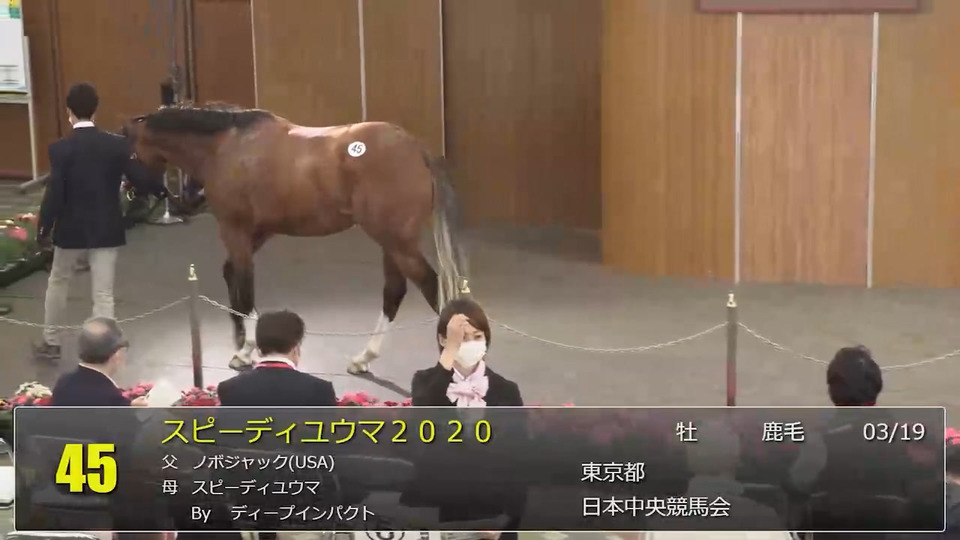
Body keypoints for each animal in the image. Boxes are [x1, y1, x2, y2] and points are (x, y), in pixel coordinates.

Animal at [122, 104, 467, 373]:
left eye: (130, 151)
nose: (128, 192)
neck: (226, 147)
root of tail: (416, 149)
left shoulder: (235, 230)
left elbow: (245, 288)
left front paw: (245, 349)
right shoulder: (258, 231)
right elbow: (231, 275)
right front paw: (240, 339)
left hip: (398, 244)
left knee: (432, 288)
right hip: (391, 244)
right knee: (394, 293)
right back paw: (364, 358)